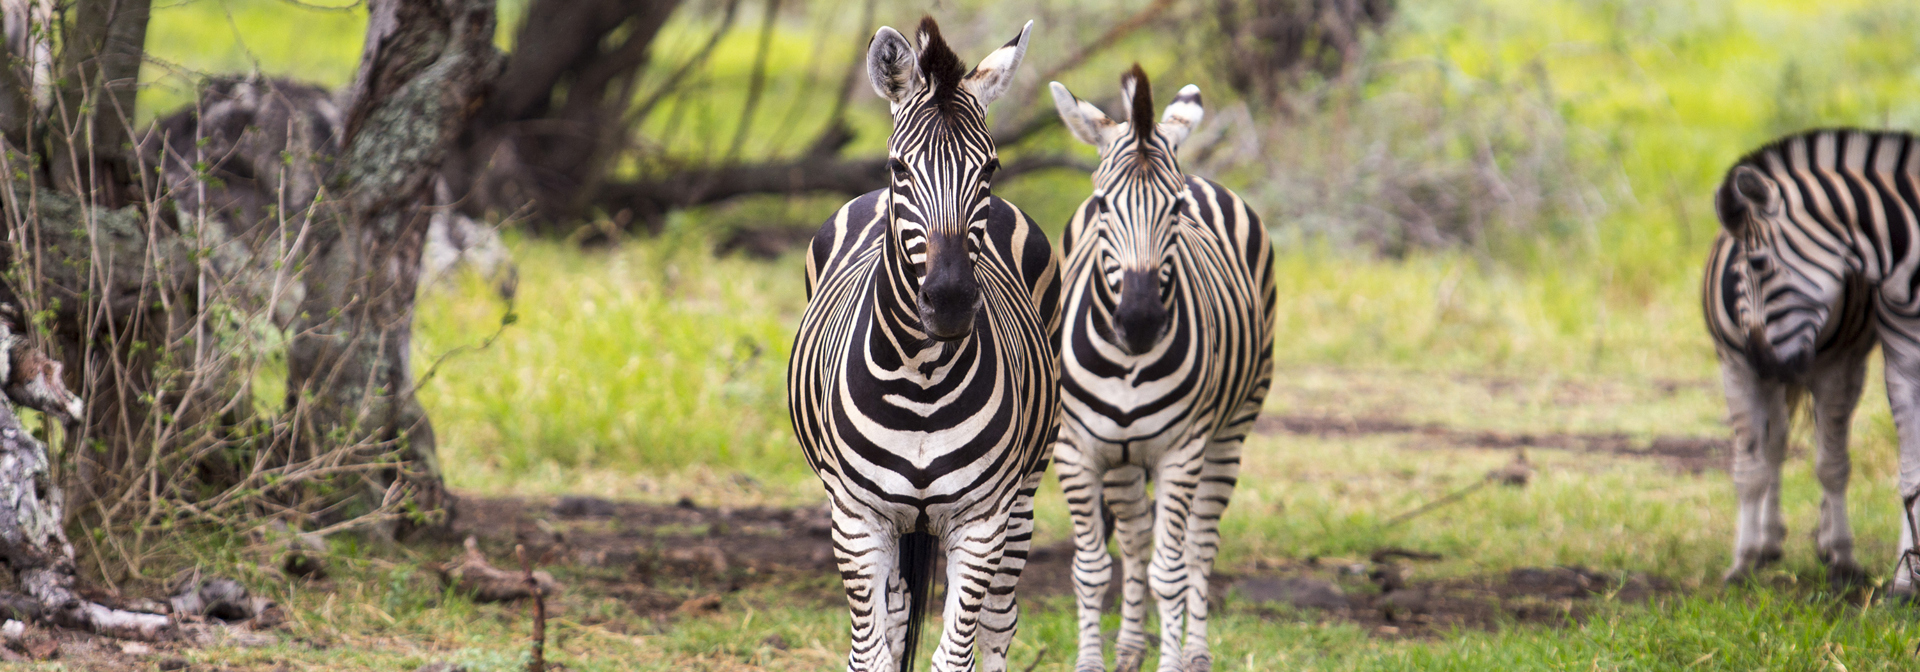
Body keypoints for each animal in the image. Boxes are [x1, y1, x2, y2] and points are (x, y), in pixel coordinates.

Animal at [787, 15, 1075, 672]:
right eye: (900, 169)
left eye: (990, 169)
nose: (949, 302)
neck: (921, 378)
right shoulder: (857, 519)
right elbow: (871, 654)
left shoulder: (982, 520)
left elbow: (956, 653)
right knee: (893, 626)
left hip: (1025, 491)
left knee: (998, 622)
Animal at [1052, 64, 1274, 672]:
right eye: (1103, 206)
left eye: (1175, 210)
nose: (1140, 321)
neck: (1128, 363)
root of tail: (1201, 175)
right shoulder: (1076, 450)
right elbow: (1091, 569)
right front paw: (1092, 662)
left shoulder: (1182, 450)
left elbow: (1170, 572)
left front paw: (1174, 658)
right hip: (1123, 457)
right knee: (1132, 539)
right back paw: (1129, 647)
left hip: (1230, 432)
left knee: (1198, 545)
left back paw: (1195, 651)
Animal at [1697, 128, 1920, 591]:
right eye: (1735, 273)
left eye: (1758, 263)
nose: (1765, 361)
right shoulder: (1736, 369)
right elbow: (1751, 469)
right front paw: (1741, 563)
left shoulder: (1837, 369)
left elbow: (1832, 465)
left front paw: (1843, 558)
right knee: (1775, 444)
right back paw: (1768, 541)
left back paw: (1821, 540)